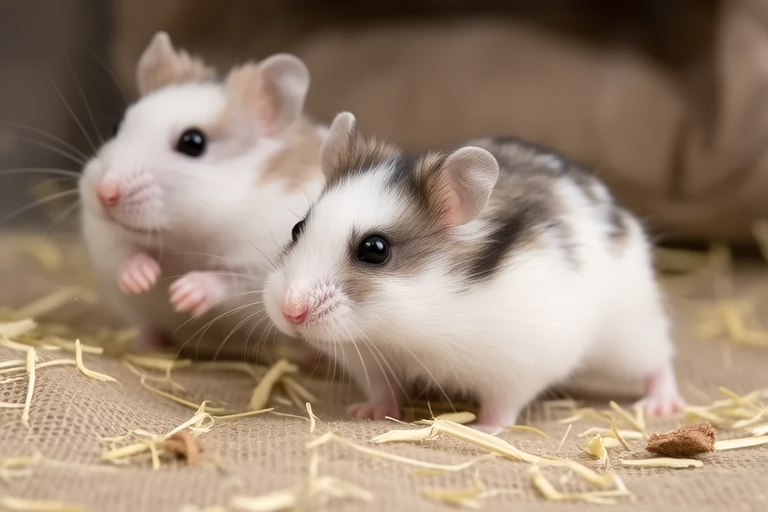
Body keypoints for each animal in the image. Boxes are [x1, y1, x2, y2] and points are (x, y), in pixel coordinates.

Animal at [79, 31, 326, 363]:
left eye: (193, 143)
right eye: (116, 127)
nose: (104, 194)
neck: (188, 235)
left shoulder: (257, 267)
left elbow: (227, 280)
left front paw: (182, 293)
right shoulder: (105, 240)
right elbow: (124, 255)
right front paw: (145, 278)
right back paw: (147, 343)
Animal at [263, 111, 685, 431]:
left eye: (375, 249)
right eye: (297, 229)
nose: (290, 312)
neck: (408, 326)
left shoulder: (521, 363)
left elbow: (503, 405)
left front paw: (483, 429)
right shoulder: (367, 358)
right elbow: (383, 390)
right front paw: (366, 412)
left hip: (629, 335)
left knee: (660, 359)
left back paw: (660, 405)